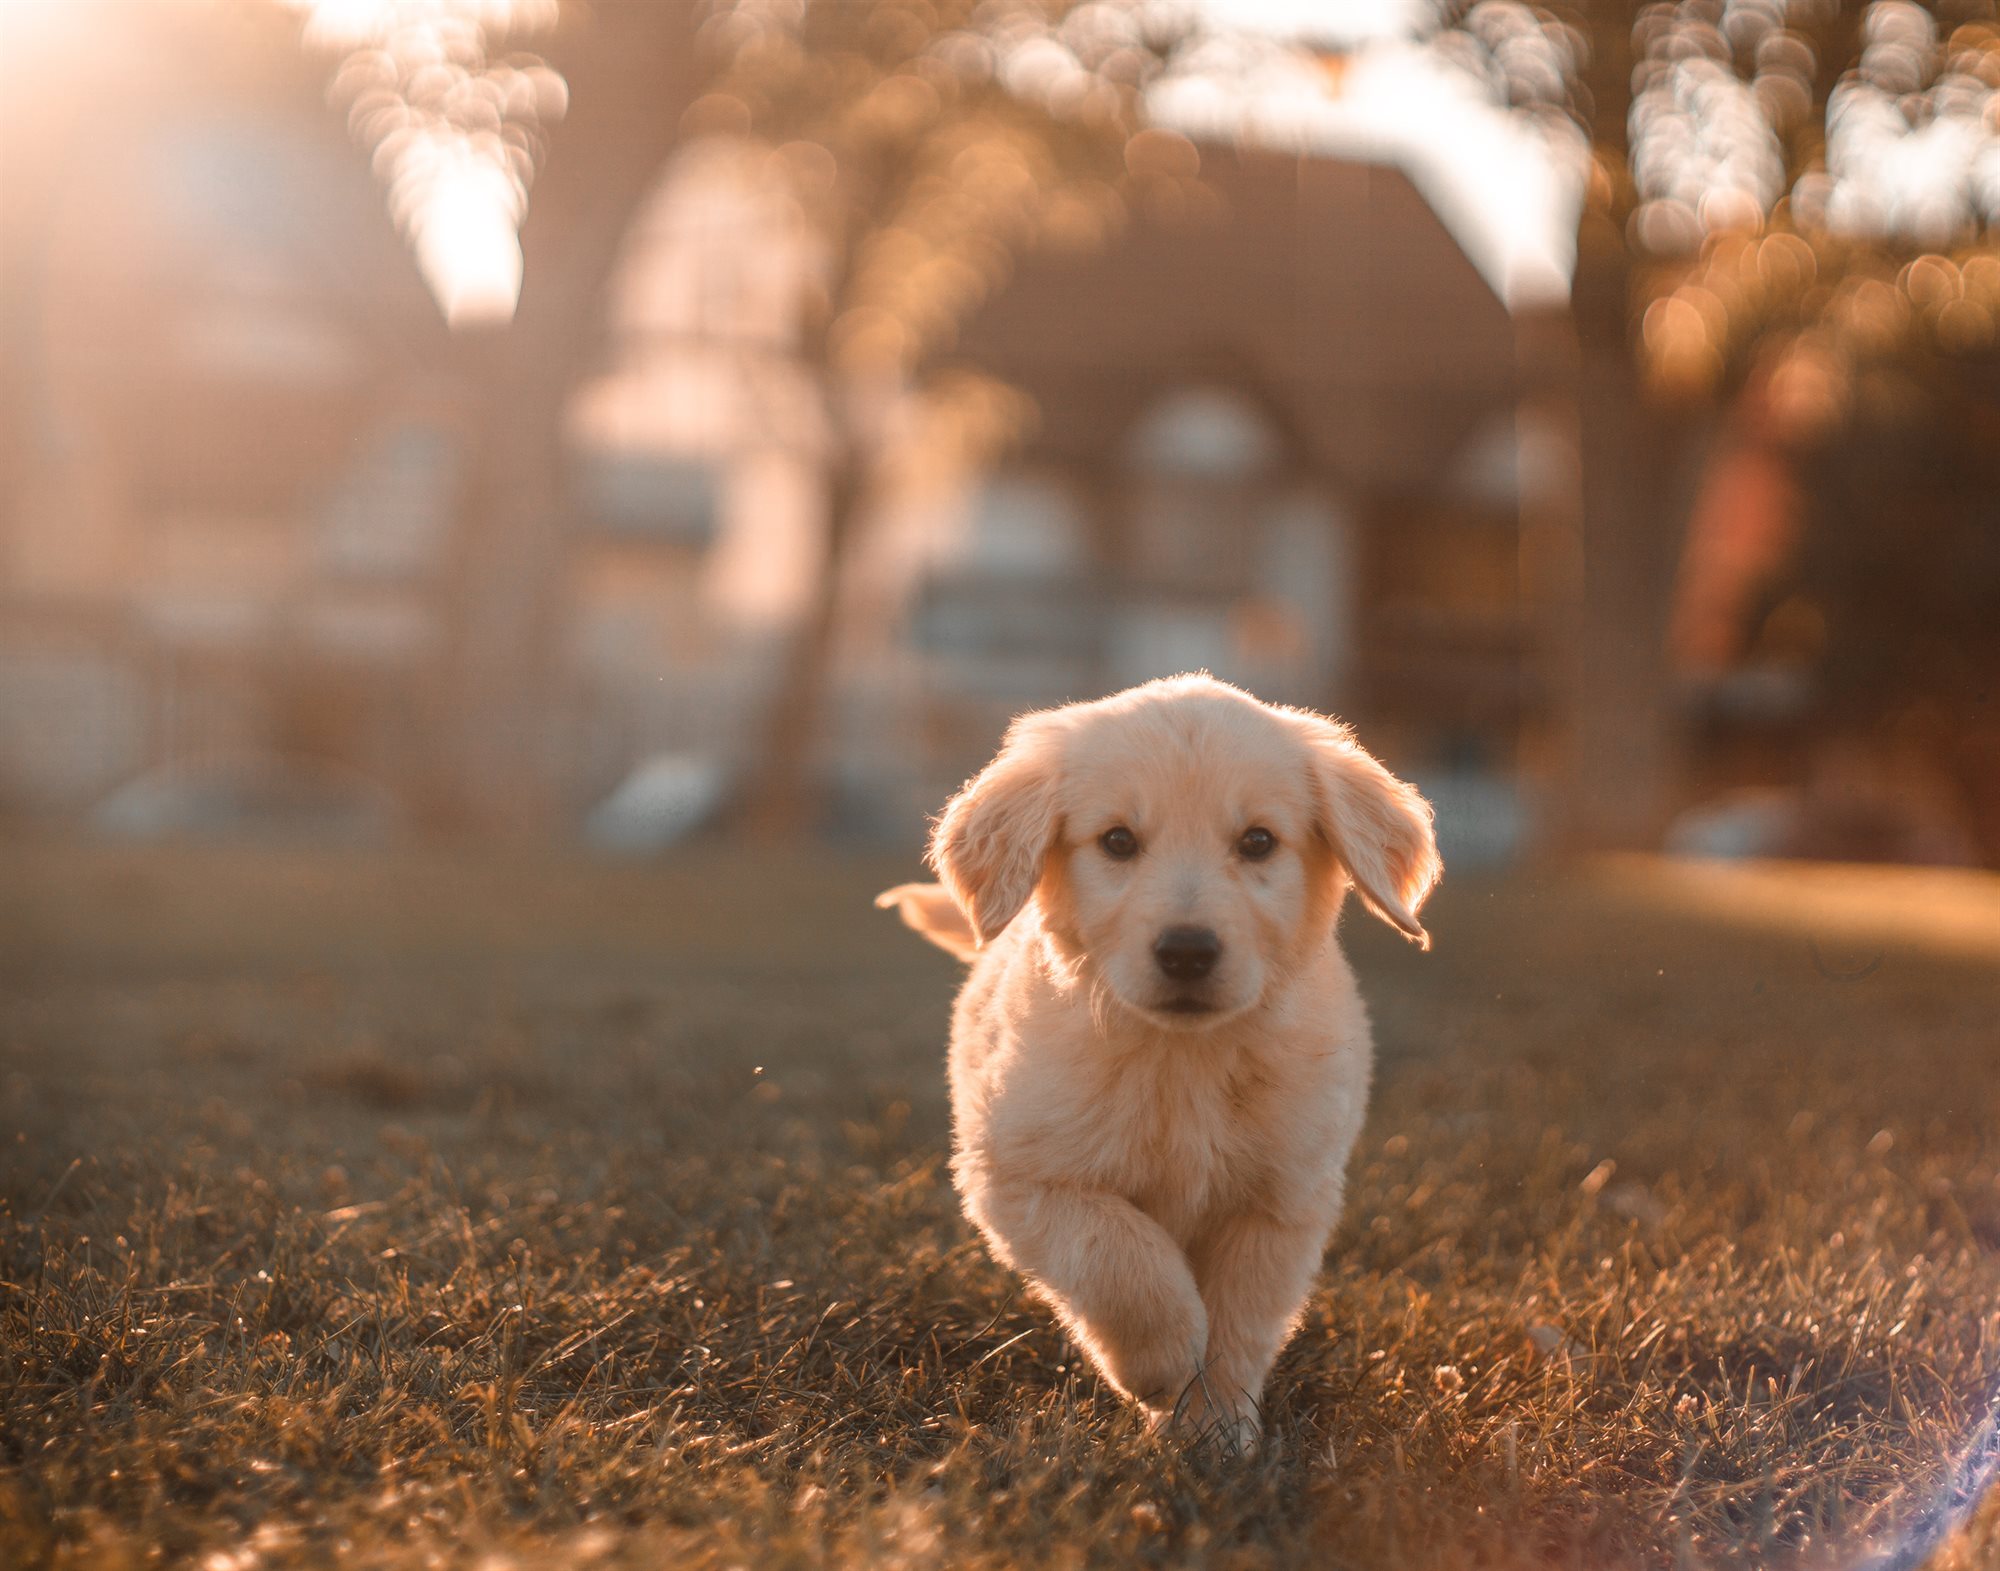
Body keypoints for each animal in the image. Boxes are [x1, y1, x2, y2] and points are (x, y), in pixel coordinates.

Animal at [876, 671, 1440, 1447]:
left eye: (1258, 841)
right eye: (1118, 840)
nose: (1187, 952)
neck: (1184, 1057)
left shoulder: (1282, 1200)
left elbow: (1239, 1321)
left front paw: (1215, 1427)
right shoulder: (1022, 1175)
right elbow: (1120, 1256)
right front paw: (1164, 1362)